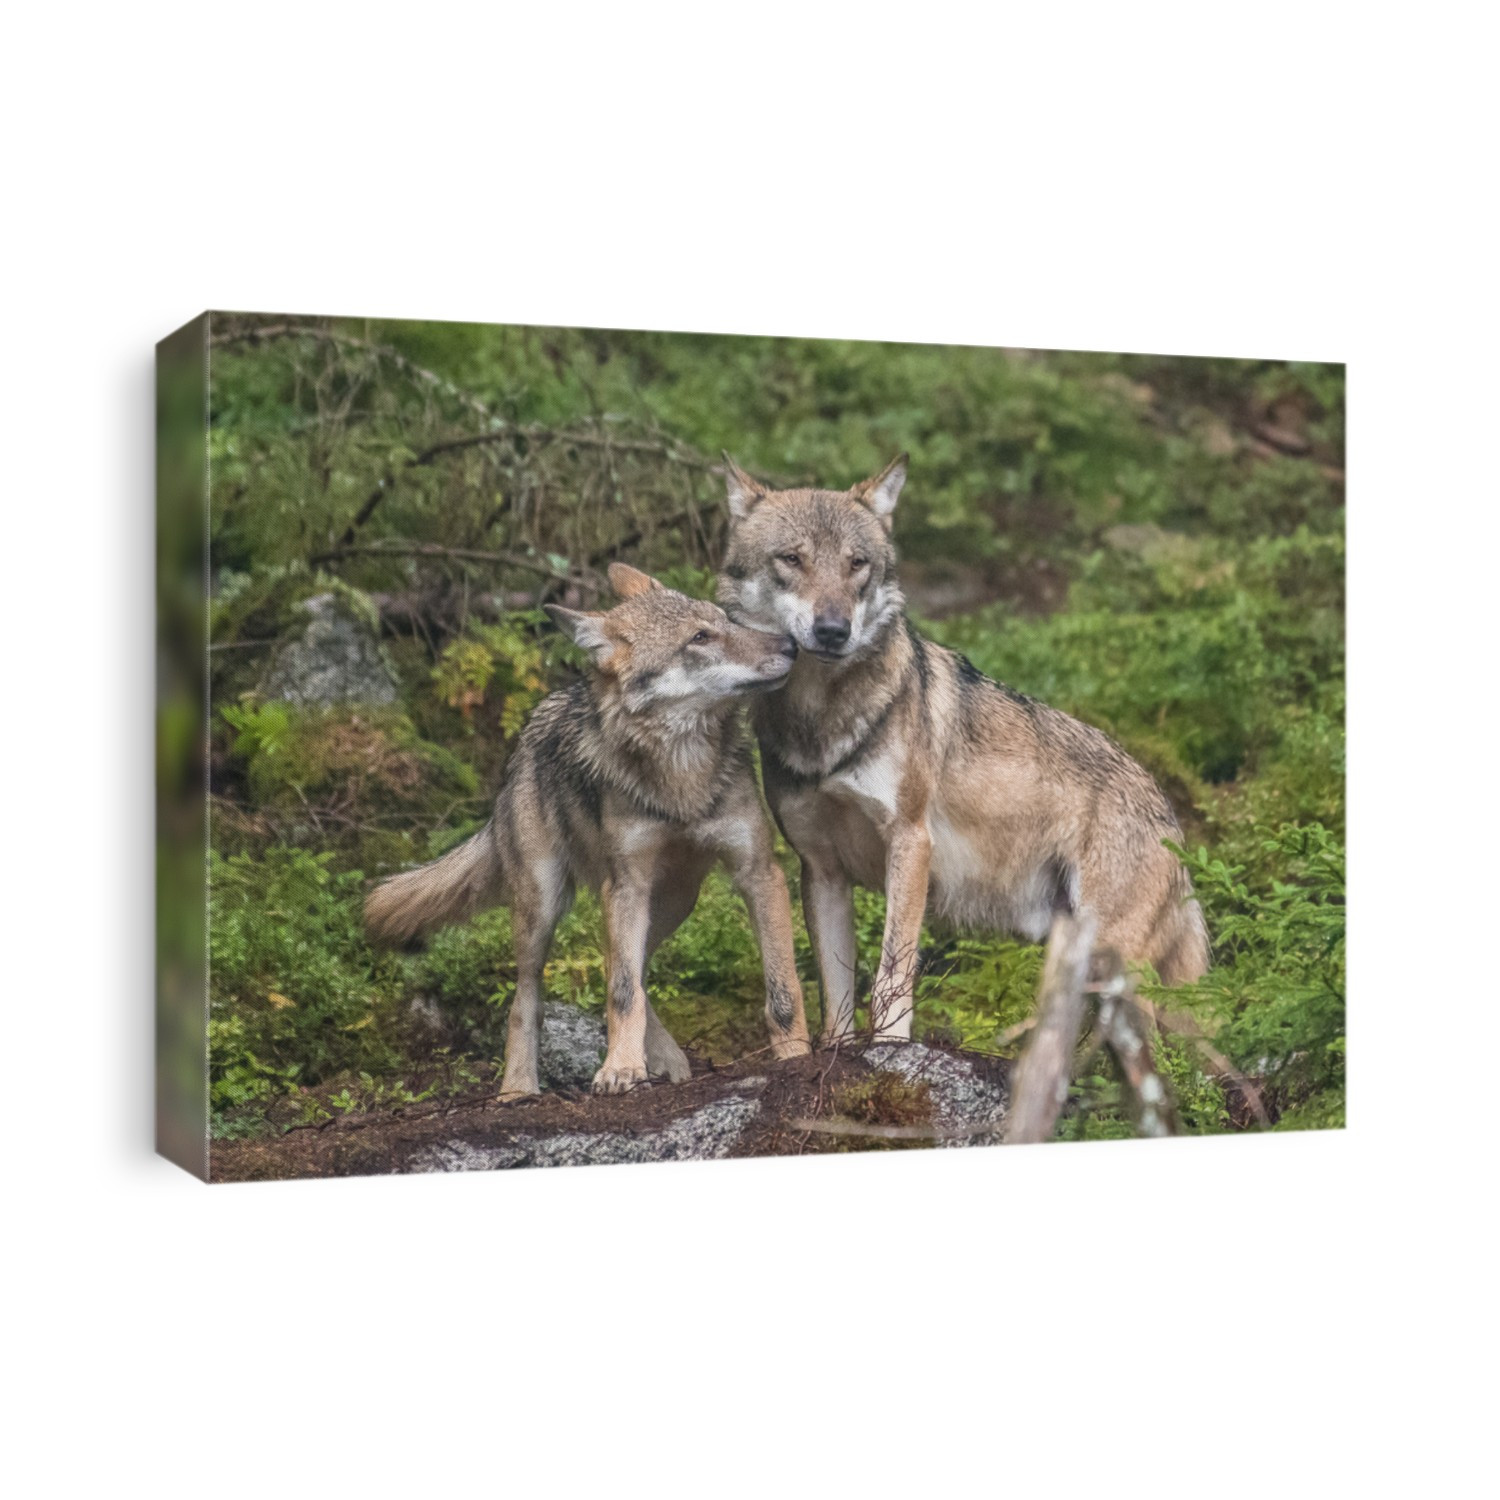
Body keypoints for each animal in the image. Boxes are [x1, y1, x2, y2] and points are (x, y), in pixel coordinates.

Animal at [364, 563, 812, 1095]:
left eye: (727, 619)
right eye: (700, 637)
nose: (791, 645)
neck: (682, 778)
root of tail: (524, 741)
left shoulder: (759, 873)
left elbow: (781, 989)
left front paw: (796, 1055)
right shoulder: (626, 885)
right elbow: (622, 992)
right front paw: (620, 1067)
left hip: (673, 901)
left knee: (622, 965)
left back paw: (666, 1060)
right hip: (546, 907)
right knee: (535, 997)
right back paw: (518, 1088)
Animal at [717, 453, 1210, 1043]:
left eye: (857, 564)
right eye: (791, 559)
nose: (834, 630)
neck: (822, 719)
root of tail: (1166, 808)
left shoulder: (911, 844)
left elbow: (891, 972)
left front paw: (890, 1050)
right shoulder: (821, 871)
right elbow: (835, 998)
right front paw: (838, 1053)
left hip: (1115, 958)